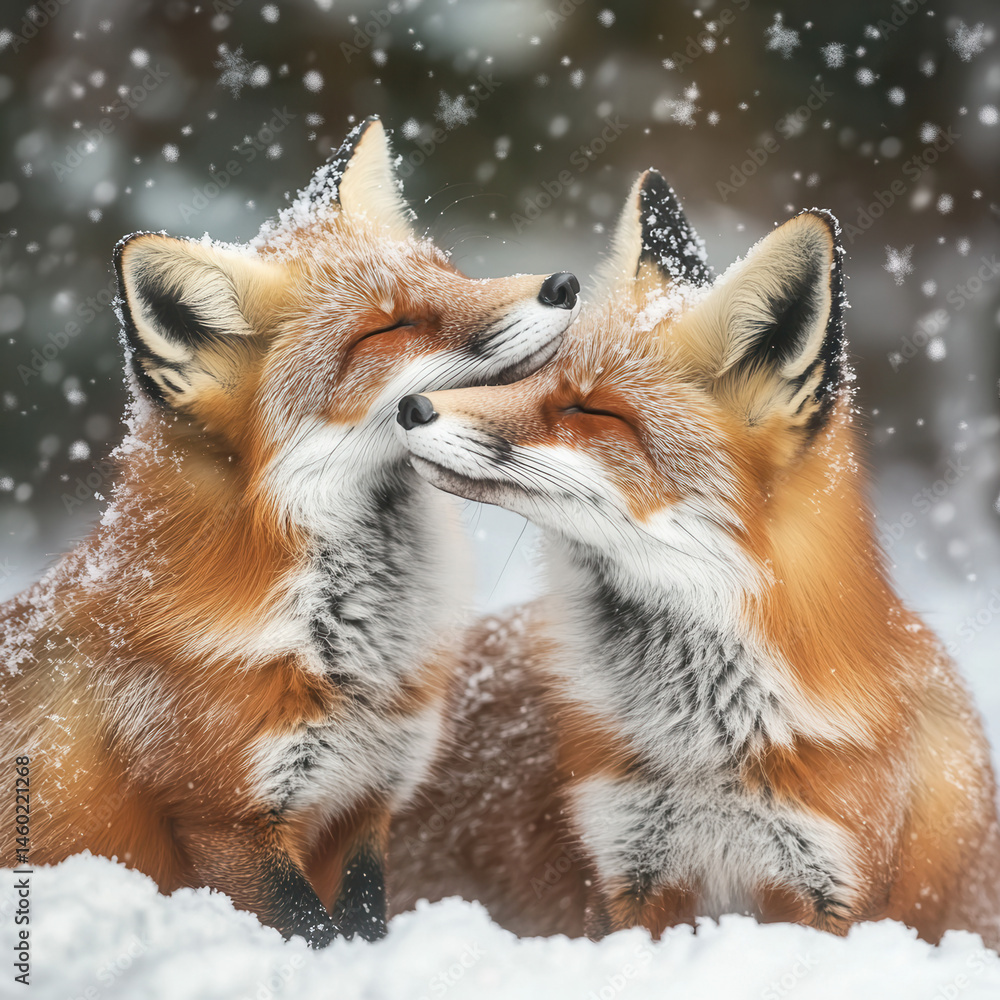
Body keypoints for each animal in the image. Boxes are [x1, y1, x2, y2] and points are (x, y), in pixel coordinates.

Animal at [0, 117, 581, 947]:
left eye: (451, 272)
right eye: (390, 326)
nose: (565, 284)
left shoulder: (367, 799)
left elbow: (363, 924)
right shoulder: (228, 825)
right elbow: (312, 933)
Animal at [389, 170, 1000, 947]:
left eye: (592, 410)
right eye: (532, 375)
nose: (411, 406)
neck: (705, 748)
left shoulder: (829, 887)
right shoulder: (631, 869)